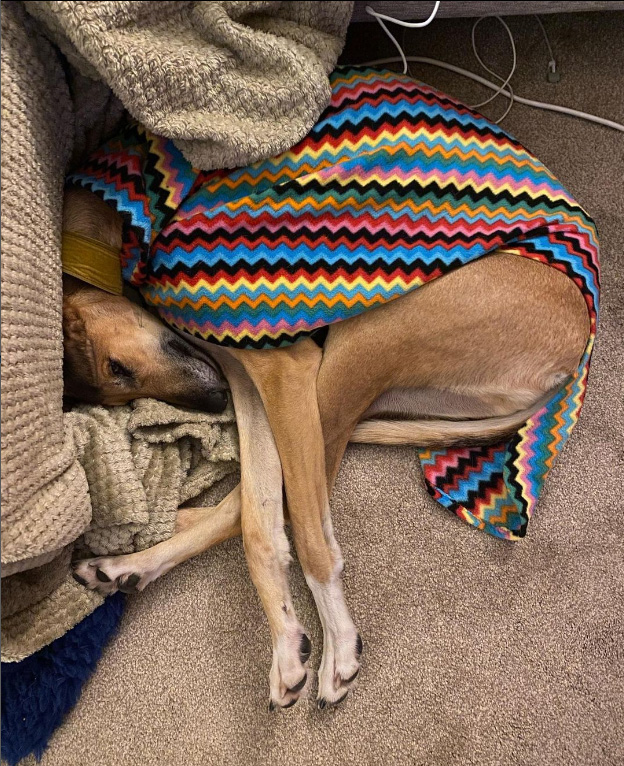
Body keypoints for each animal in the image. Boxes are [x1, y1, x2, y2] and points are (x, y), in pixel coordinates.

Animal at [63, 69, 596, 712]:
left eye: (118, 368)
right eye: (118, 385)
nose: (213, 406)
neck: (124, 212)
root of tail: (578, 345)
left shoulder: (282, 368)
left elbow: (294, 530)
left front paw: (325, 643)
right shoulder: (247, 377)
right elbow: (260, 524)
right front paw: (287, 640)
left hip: (357, 348)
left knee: (303, 513)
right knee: (263, 504)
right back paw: (129, 564)